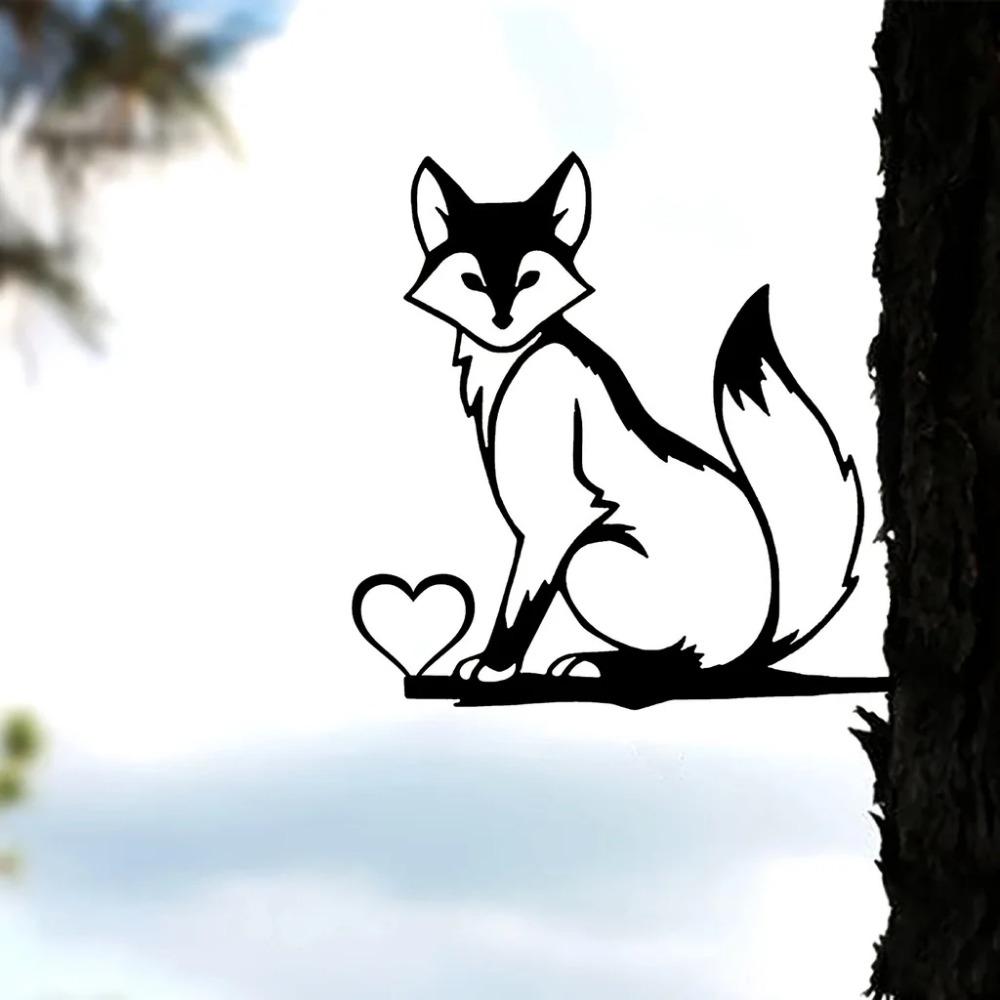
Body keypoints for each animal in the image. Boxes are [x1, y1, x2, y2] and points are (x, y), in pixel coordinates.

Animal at [404, 153, 863, 684]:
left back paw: (603, 662)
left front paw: (495, 666)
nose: (502, 320)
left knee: (690, 660)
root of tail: (765, 630)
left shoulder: (558, 516)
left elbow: (520, 604)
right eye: (472, 281)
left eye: (530, 279)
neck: (512, 362)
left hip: (589, 558)